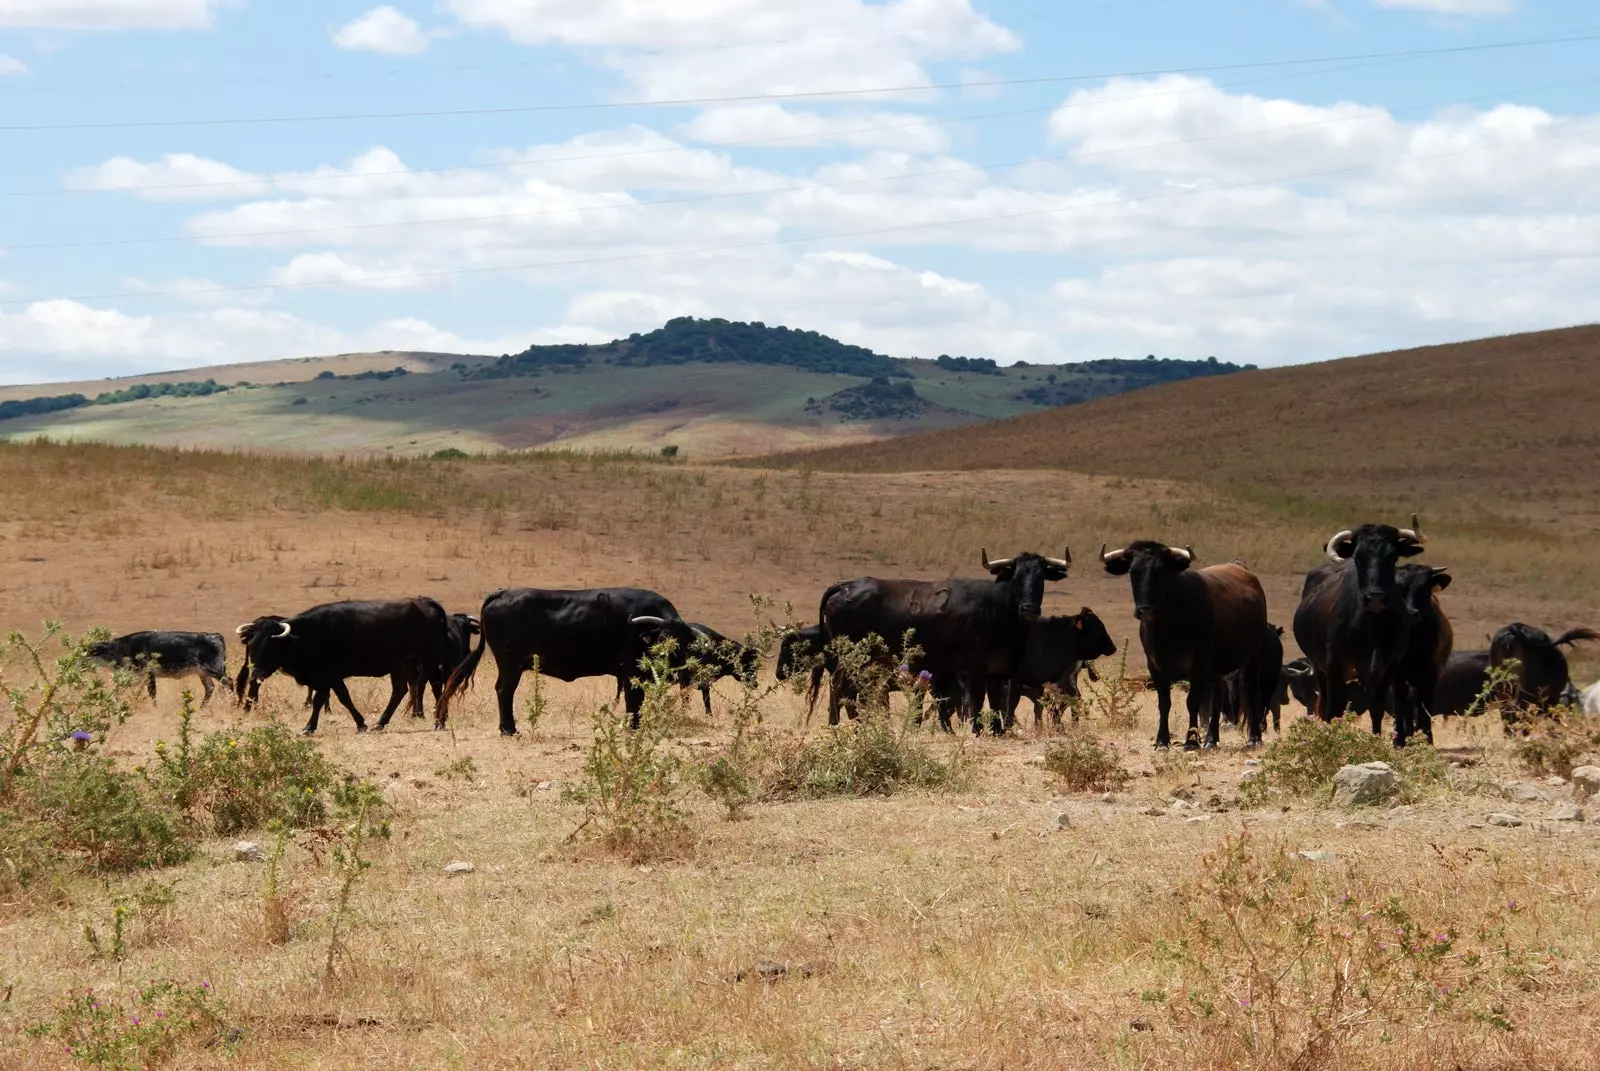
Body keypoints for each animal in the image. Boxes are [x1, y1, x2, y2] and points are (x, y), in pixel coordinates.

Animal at [435, 585, 697, 736]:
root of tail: (502, 593)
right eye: (662, 639)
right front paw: (633, 726)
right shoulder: (631, 672)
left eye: (686, 642)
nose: (675, 665)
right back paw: (508, 729)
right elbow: (634, 700)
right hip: (510, 666)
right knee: (504, 690)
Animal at [819, 547, 1068, 730]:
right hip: (852, 657)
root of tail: (845, 585)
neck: (997, 609)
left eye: (1041, 578)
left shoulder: (999, 672)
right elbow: (975, 702)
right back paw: (842, 724)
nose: (1029, 609)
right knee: (839, 686)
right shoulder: (972, 670)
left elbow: (997, 703)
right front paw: (976, 730)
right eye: (1016, 577)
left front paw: (996, 731)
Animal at [1094, 537, 1267, 749]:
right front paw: (1161, 740)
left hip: (1253, 657)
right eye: (1133, 572)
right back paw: (1211, 739)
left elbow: (1192, 702)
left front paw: (1191, 741)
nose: (1145, 609)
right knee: (1218, 696)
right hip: (1218, 667)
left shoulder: (1198, 664)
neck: (1167, 626)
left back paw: (1253, 738)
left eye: (1161, 571)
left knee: (1253, 694)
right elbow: (1164, 703)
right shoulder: (1154, 666)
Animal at [1292, 518, 1433, 742]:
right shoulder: (1334, 665)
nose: (1375, 598)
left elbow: (1376, 709)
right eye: (1358, 557)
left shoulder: (1387, 668)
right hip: (1321, 668)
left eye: (1393, 557)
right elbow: (1332, 710)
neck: (1372, 626)